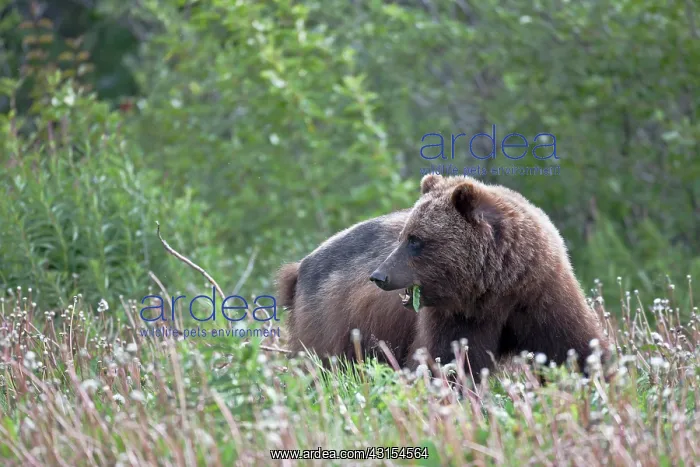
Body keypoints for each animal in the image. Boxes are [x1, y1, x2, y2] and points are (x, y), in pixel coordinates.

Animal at [369, 174, 610, 381]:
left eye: (415, 240)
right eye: (403, 237)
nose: (379, 276)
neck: (499, 288)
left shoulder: (542, 296)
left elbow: (574, 346)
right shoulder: (460, 318)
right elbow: (449, 360)